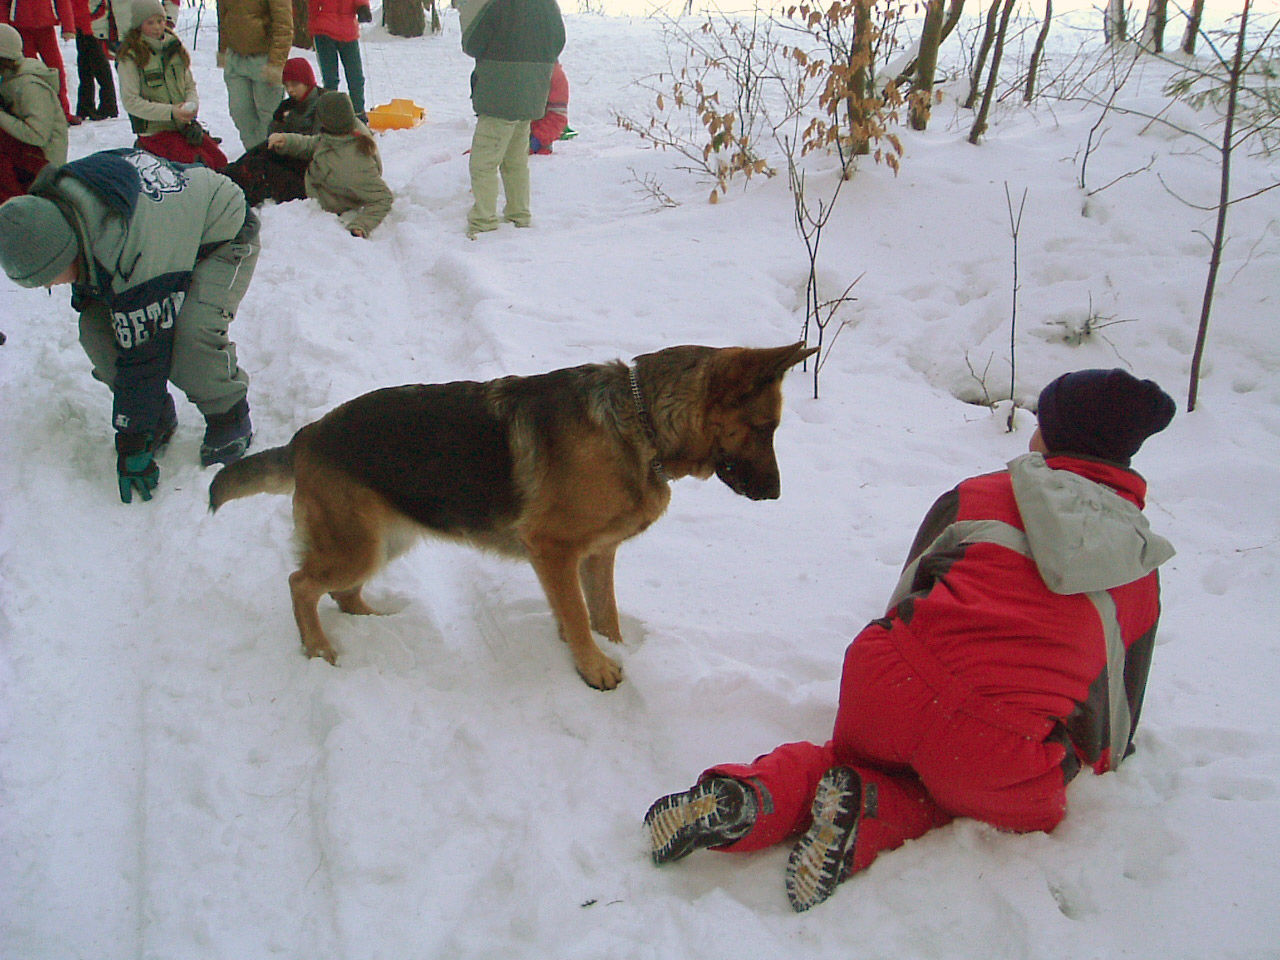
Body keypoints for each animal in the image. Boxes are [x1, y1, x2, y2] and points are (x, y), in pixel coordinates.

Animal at [208, 345, 808, 691]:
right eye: (765, 428)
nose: (779, 495)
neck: (639, 422)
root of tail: (305, 437)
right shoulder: (554, 550)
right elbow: (577, 615)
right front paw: (594, 667)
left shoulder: (596, 554)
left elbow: (602, 613)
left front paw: (607, 646)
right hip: (358, 546)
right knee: (300, 583)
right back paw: (318, 648)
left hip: (383, 542)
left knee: (339, 590)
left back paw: (375, 621)